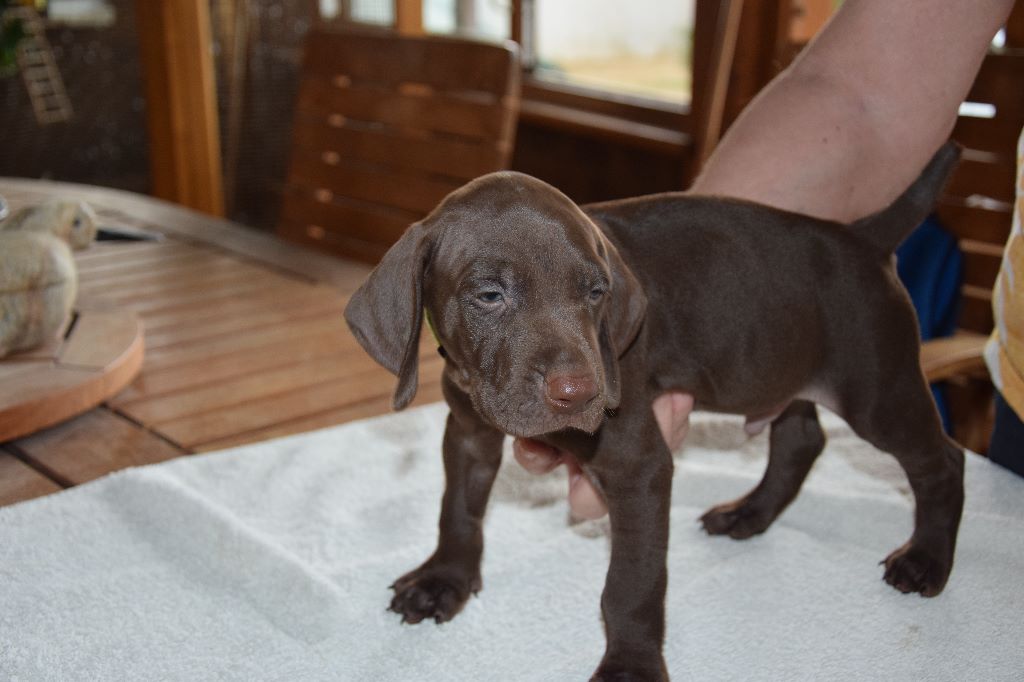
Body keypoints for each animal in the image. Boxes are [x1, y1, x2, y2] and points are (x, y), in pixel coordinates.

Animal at [344, 142, 965, 681]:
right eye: (489, 294)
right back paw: (750, 514)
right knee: (802, 440)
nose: (581, 393)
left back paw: (926, 559)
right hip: (786, 372)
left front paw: (631, 665)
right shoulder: (469, 432)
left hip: (877, 388)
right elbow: (458, 509)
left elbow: (631, 584)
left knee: (943, 461)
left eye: (595, 292)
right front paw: (444, 579)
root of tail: (862, 237)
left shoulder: (637, 466)